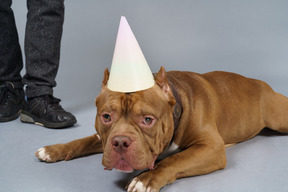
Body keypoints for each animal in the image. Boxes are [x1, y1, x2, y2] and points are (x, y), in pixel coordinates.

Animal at [36, 67, 288, 191]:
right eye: (106, 117)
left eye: (148, 120)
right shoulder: (102, 137)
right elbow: (83, 141)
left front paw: (146, 179)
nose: (120, 142)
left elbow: (174, 160)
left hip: (279, 117)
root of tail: (262, 83)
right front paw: (54, 150)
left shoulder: (211, 148)